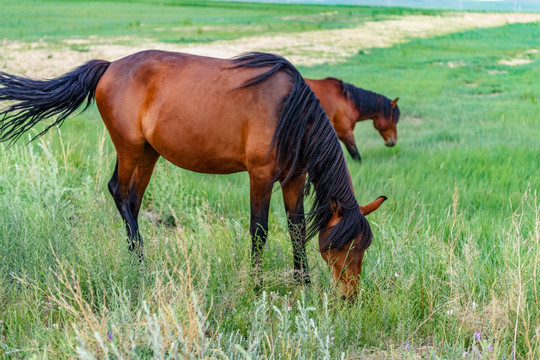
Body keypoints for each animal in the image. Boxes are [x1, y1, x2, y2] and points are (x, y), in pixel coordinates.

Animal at [1, 50, 388, 298]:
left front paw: (302, 283)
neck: (288, 113)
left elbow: (296, 229)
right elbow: (259, 232)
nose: (351, 297)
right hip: (129, 147)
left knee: (133, 200)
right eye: (343, 246)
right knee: (118, 191)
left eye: (363, 247)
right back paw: (140, 262)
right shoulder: (260, 177)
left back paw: (137, 259)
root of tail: (110, 66)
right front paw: (257, 286)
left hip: (148, 153)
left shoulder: (293, 179)